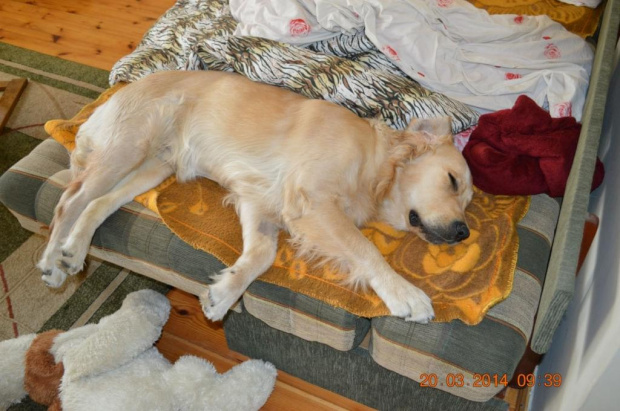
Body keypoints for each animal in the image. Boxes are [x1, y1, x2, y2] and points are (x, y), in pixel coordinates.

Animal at [37, 70, 473, 323]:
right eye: (452, 181)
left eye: (469, 200)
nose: (463, 232)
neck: (375, 163)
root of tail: (114, 95)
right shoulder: (310, 202)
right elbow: (366, 250)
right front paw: (405, 293)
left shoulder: (259, 202)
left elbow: (262, 255)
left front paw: (225, 291)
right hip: (127, 148)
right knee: (69, 200)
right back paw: (53, 262)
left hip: (152, 167)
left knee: (94, 204)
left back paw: (72, 252)